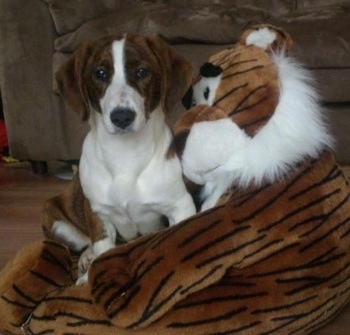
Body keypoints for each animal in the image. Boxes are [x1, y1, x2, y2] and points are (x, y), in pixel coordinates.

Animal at [42, 33, 196, 284]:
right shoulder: (99, 216)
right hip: (53, 218)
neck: (125, 156)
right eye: (100, 73)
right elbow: (103, 249)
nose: (122, 117)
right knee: (86, 243)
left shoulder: (180, 206)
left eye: (142, 72)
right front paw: (90, 277)